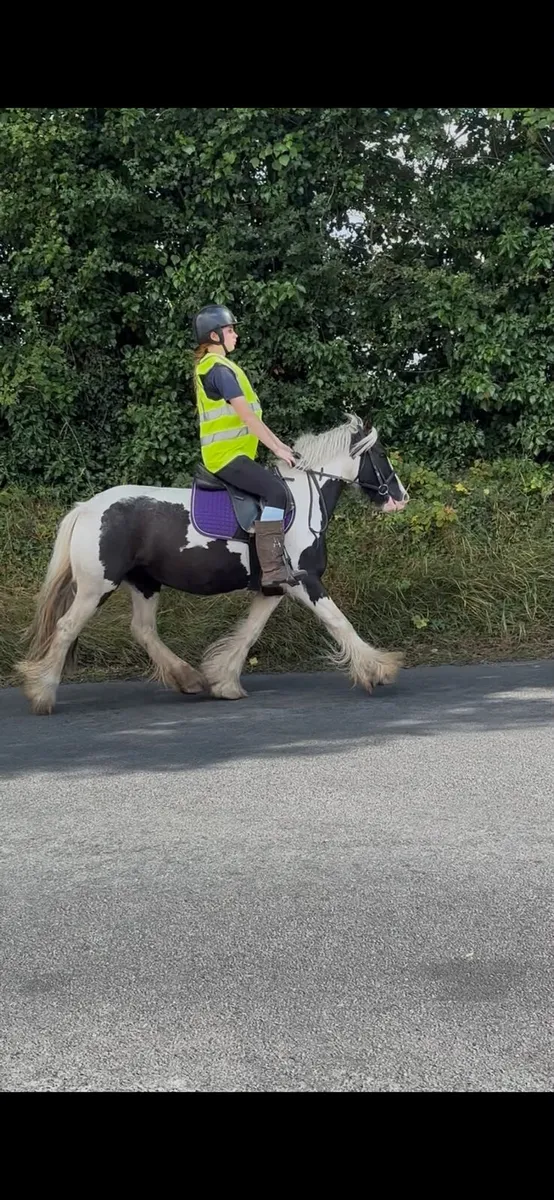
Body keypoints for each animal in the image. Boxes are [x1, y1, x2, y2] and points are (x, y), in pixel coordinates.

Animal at [16, 414, 409, 714]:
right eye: (381, 454)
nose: (400, 498)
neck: (303, 500)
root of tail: (86, 508)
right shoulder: (305, 581)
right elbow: (339, 622)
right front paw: (378, 669)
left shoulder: (275, 588)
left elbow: (250, 632)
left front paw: (224, 681)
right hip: (97, 586)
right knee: (67, 627)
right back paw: (42, 693)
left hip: (144, 583)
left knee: (143, 630)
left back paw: (188, 678)